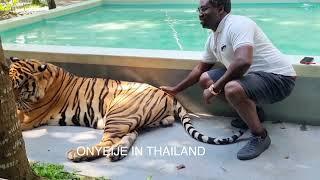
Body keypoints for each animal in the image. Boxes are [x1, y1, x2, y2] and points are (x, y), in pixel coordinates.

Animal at [9, 56, 245, 162]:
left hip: (119, 112)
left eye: (19, 86)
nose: (11, 98)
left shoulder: (27, 116)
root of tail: (166, 93)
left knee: (107, 142)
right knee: (130, 135)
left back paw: (78, 154)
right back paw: (117, 153)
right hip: (130, 120)